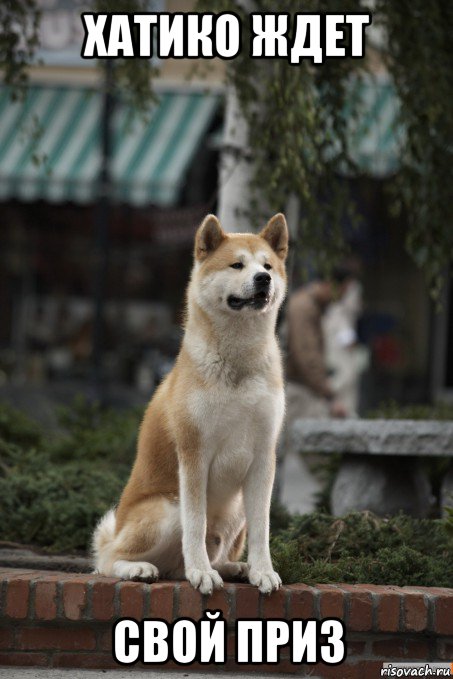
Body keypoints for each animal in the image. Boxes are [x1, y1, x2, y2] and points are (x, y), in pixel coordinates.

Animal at [93, 212, 288, 596]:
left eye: (268, 266)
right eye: (237, 264)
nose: (263, 279)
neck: (237, 364)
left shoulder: (263, 457)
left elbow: (263, 530)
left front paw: (263, 571)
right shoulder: (194, 454)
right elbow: (195, 526)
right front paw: (201, 573)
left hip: (236, 509)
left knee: (203, 558)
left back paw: (235, 568)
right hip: (167, 508)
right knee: (108, 560)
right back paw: (142, 568)